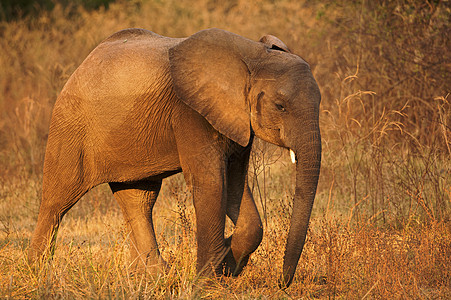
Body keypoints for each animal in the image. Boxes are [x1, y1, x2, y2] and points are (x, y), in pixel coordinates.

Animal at [28, 28, 324, 288]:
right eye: (280, 107)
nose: (282, 284)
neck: (252, 56)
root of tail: (82, 65)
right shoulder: (190, 112)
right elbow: (212, 183)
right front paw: (208, 283)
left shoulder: (237, 121)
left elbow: (236, 184)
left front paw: (227, 263)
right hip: (69, 127)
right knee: (57, 201)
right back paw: (36, 275)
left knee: (139, 200)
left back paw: (154, 277)